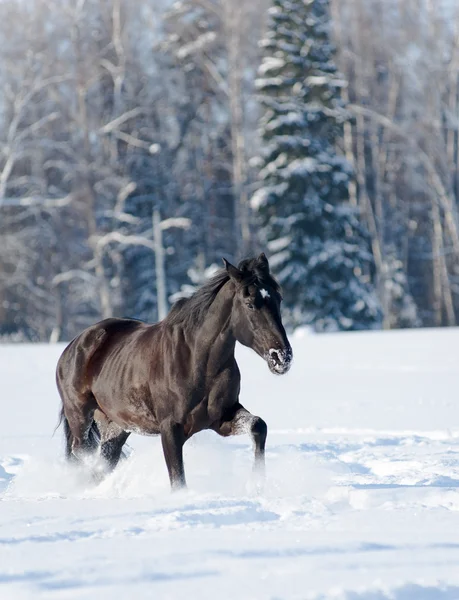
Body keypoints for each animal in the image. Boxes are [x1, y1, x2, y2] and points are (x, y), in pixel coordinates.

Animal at [55, 253, 292, 488]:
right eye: (249, 304)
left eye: (279, 299)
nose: (282, 356)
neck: (197, 363)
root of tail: (74, 345)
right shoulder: (171, 428)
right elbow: (178, 477)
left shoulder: (222, 418)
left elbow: (258, 426)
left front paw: (257, 484)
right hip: (80, 415)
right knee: (82, 452)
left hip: (115, 425)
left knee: (105, 459)